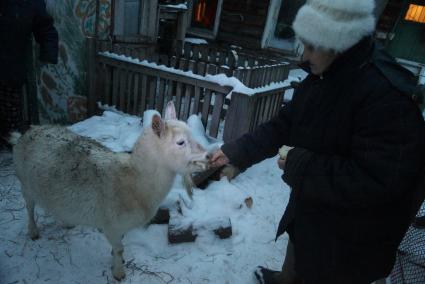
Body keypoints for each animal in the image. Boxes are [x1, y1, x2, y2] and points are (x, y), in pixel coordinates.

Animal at [13, 101, 210, 280]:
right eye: (180, 142)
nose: (208, 155)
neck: (135, 180)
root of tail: (31, 130)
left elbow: (118, 248)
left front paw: (116, 261)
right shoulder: (111, 225)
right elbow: (120, 248)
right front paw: (119, 273)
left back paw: (66, 222)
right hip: (24, 182)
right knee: (29, 207)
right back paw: (33, 231)